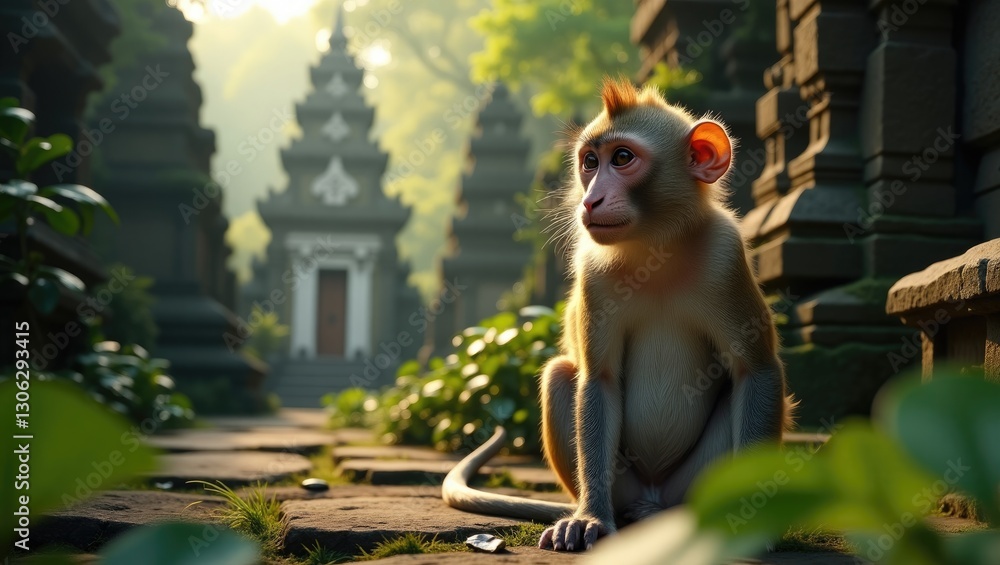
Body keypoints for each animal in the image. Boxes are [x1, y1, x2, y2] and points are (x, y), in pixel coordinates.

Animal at [442, 77, 796, 552]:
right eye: (590, 162)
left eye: (623, 158)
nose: (591, 200)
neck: (656, 249)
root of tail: (654, 502)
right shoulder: (594, 273)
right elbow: (600, 380)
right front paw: (589, 518)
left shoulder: (726, 254)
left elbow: (755, 371)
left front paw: (749, 522)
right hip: (624, 486)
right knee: (561, 376)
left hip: (692, 483)